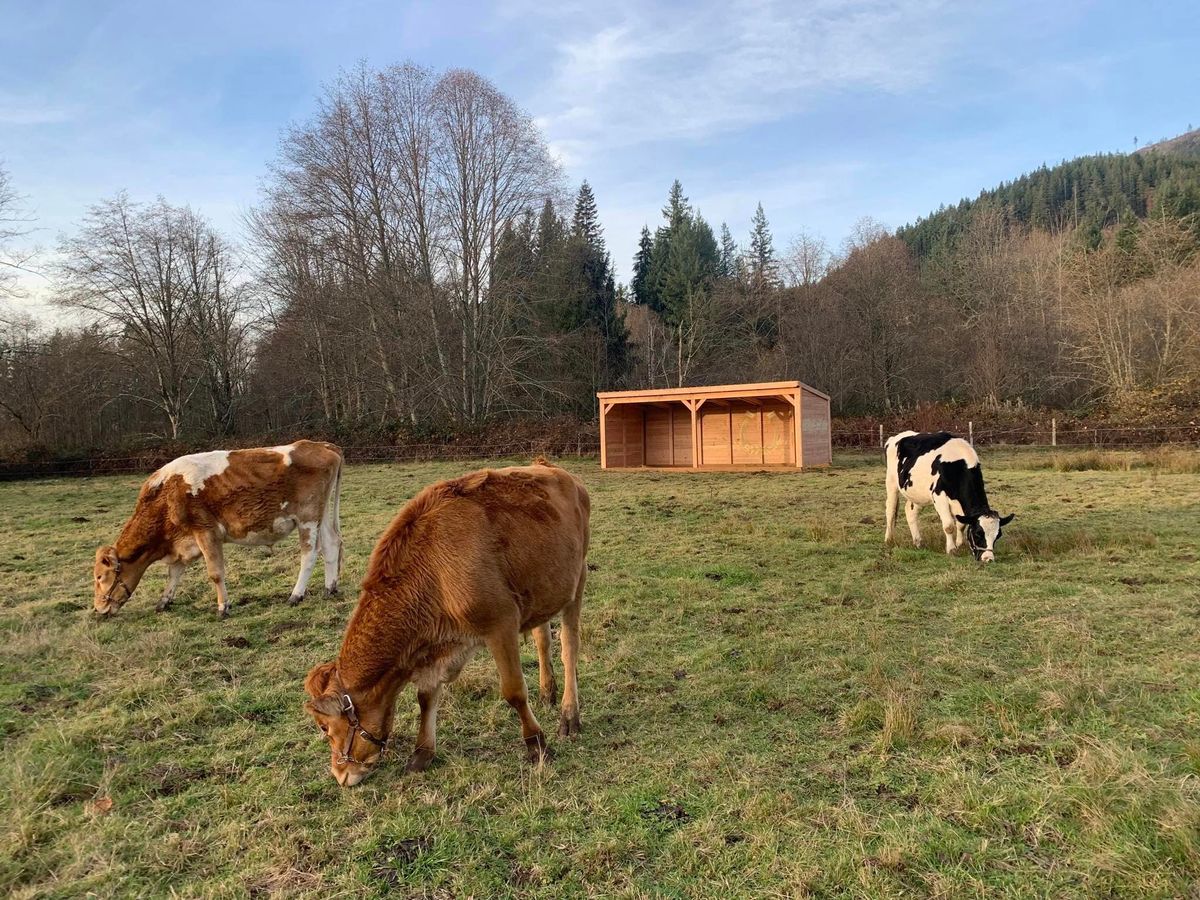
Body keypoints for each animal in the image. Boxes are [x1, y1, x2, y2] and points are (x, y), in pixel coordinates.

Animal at [93, 439, 343, 619]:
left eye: (99, 576)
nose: (98, 609)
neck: (166, 495)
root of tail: (321, 445)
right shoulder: (183, 542)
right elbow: (174, 572)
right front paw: (164, 600)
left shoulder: (205, 532)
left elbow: (215, 573)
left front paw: (223, 607)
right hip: (320, 516)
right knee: (331, 545)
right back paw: (329, 588)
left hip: (307, 518)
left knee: (309, 554)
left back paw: (296, 595)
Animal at [304, 460, 590, 787]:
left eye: (324, 727)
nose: (340, 774)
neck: (433, 572)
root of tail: (553, 468)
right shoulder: (441, 646)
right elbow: (426, 697)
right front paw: (422, 752)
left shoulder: (501, 623)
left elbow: (514, 691)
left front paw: (536, 744)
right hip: (541, 590)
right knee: (543, 639)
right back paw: (547, 691)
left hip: (578, 577)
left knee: (569, 646)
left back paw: (569, 714)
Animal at [883, 432, 1012, 564]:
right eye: (978, 534)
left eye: (998, 535)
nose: (988, 558)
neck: (958, 466)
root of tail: (895, 437)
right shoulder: (939, 496)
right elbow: (949, 526)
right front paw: (951, 549)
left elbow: (961, 524)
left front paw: (960, 544)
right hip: (891, 482)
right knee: (890, 511)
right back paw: (889, 539)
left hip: (917, 493)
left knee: (910, 511)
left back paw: (918, 542)